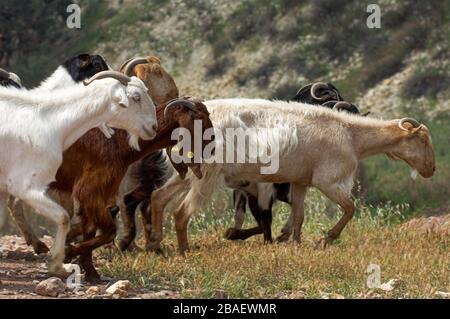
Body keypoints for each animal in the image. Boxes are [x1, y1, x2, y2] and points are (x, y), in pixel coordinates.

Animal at [0, 70, 158, 278]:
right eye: (136, 97)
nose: (153, 127)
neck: (51, 122)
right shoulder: (27, 186)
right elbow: (63, 217)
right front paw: (57, 265)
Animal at [148, 99, 436, 254]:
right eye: (422, 140)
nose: (431, 170)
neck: (352, 136)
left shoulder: (301, 181)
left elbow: (299, 216)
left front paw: (296, 243)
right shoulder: (327, 180)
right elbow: (350, 209)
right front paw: (326, 239)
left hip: (187, 172)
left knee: (158, 196)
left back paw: (156, 244)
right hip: (207, 173)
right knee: (181, 212)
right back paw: (184, 251)